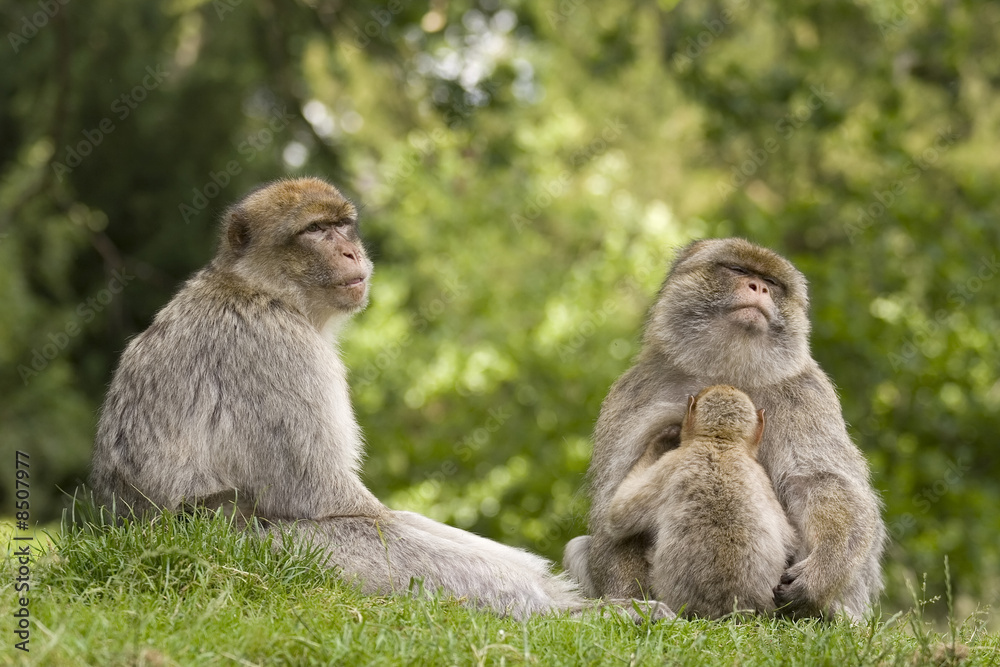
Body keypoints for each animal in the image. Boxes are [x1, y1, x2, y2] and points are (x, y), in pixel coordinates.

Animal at [90, 177, 610, 620]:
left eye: (342, 225)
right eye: (315, 230)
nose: (351, 250)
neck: (264, 289)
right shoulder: (280, 350)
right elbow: (329, 499)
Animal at [605, 385, 797, 618]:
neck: (719, 443)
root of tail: (726, 612)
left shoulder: (672, 462)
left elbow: (617, 515)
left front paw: (662, 440)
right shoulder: (761, 476)